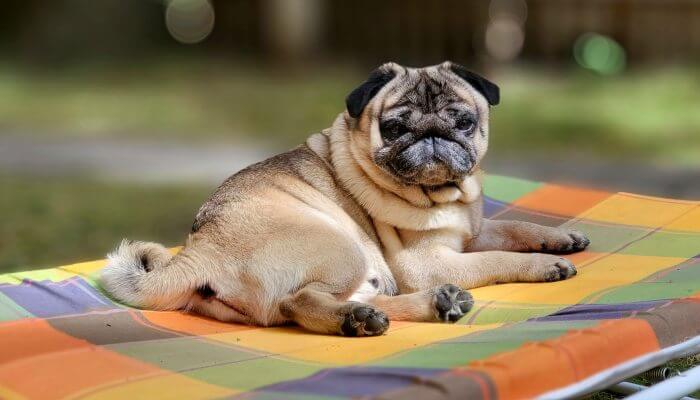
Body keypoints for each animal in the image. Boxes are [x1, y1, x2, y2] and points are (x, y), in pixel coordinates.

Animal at [101, 61, 588, 338]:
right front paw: (544, 265)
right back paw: (356, 321)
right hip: (341, 248)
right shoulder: (429, 262)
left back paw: (425, 306)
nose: (432, 134)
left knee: (366, 300)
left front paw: (560, 239)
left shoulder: (470, 232)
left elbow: (513, 228)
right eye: (394, 128)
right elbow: (499, 258)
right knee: (297, 303)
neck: (446, 196)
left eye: (464, 122)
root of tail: (198, 250)